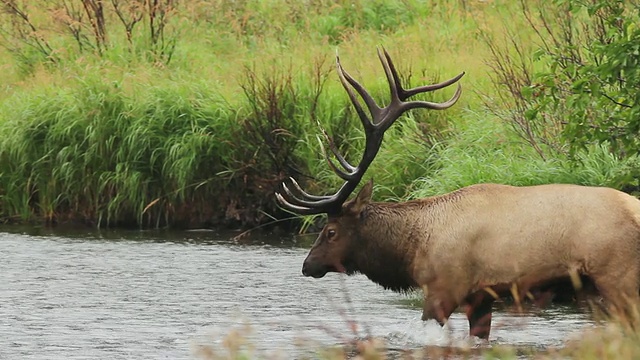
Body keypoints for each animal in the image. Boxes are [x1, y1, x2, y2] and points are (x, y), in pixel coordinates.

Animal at [274, 48, 640, 340]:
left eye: (330, 231)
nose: (307, 265)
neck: (413, 246)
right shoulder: (481, 298)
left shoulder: (444, 288)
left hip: (617, 277)